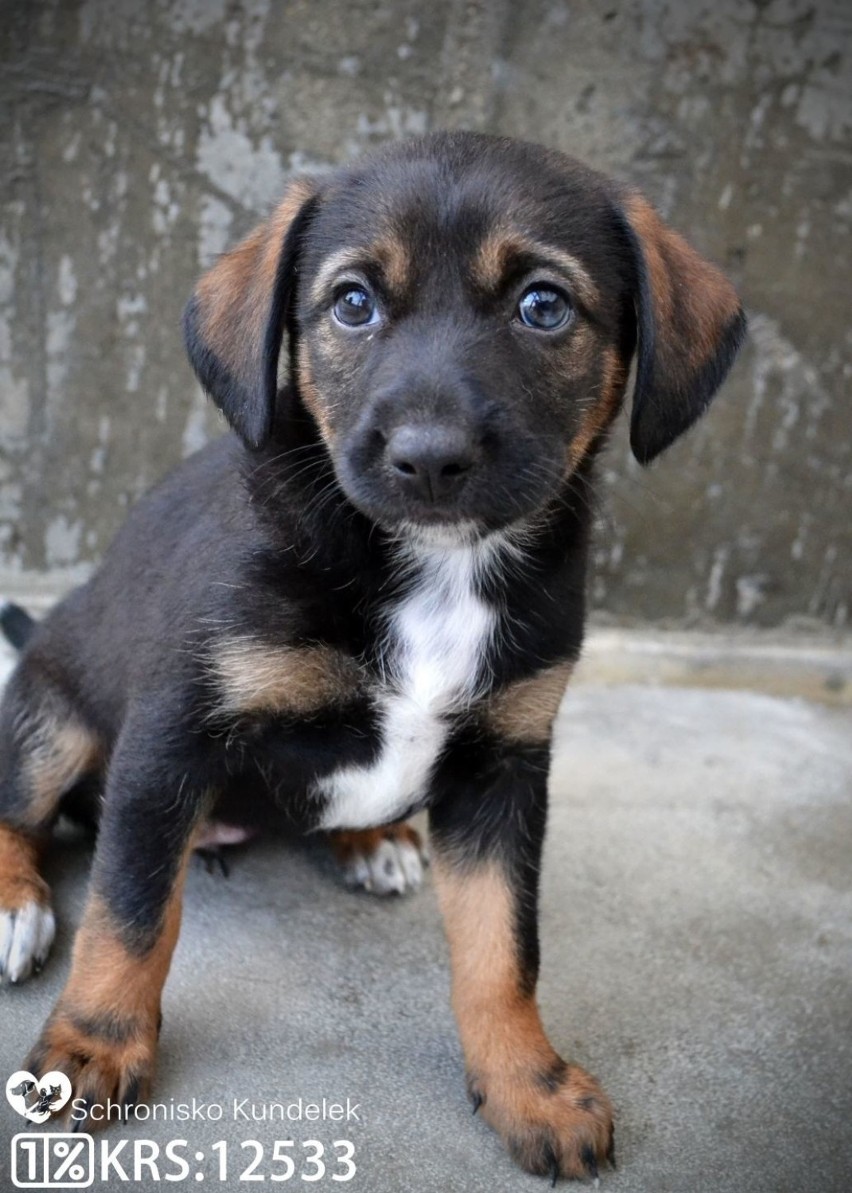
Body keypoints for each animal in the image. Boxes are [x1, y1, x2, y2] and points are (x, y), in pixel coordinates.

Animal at [0, 128, 739, 1173]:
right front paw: (92, 1046)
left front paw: (531, 1085)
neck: (434, 563)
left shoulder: (507, 765)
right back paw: (17, 905)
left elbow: (504, 947)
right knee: (19, 811)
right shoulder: (173, 732)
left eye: (544, 305)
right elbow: (130, 911)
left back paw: (371, 836)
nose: (429, 458)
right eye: (353, 303)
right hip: (54, 717)